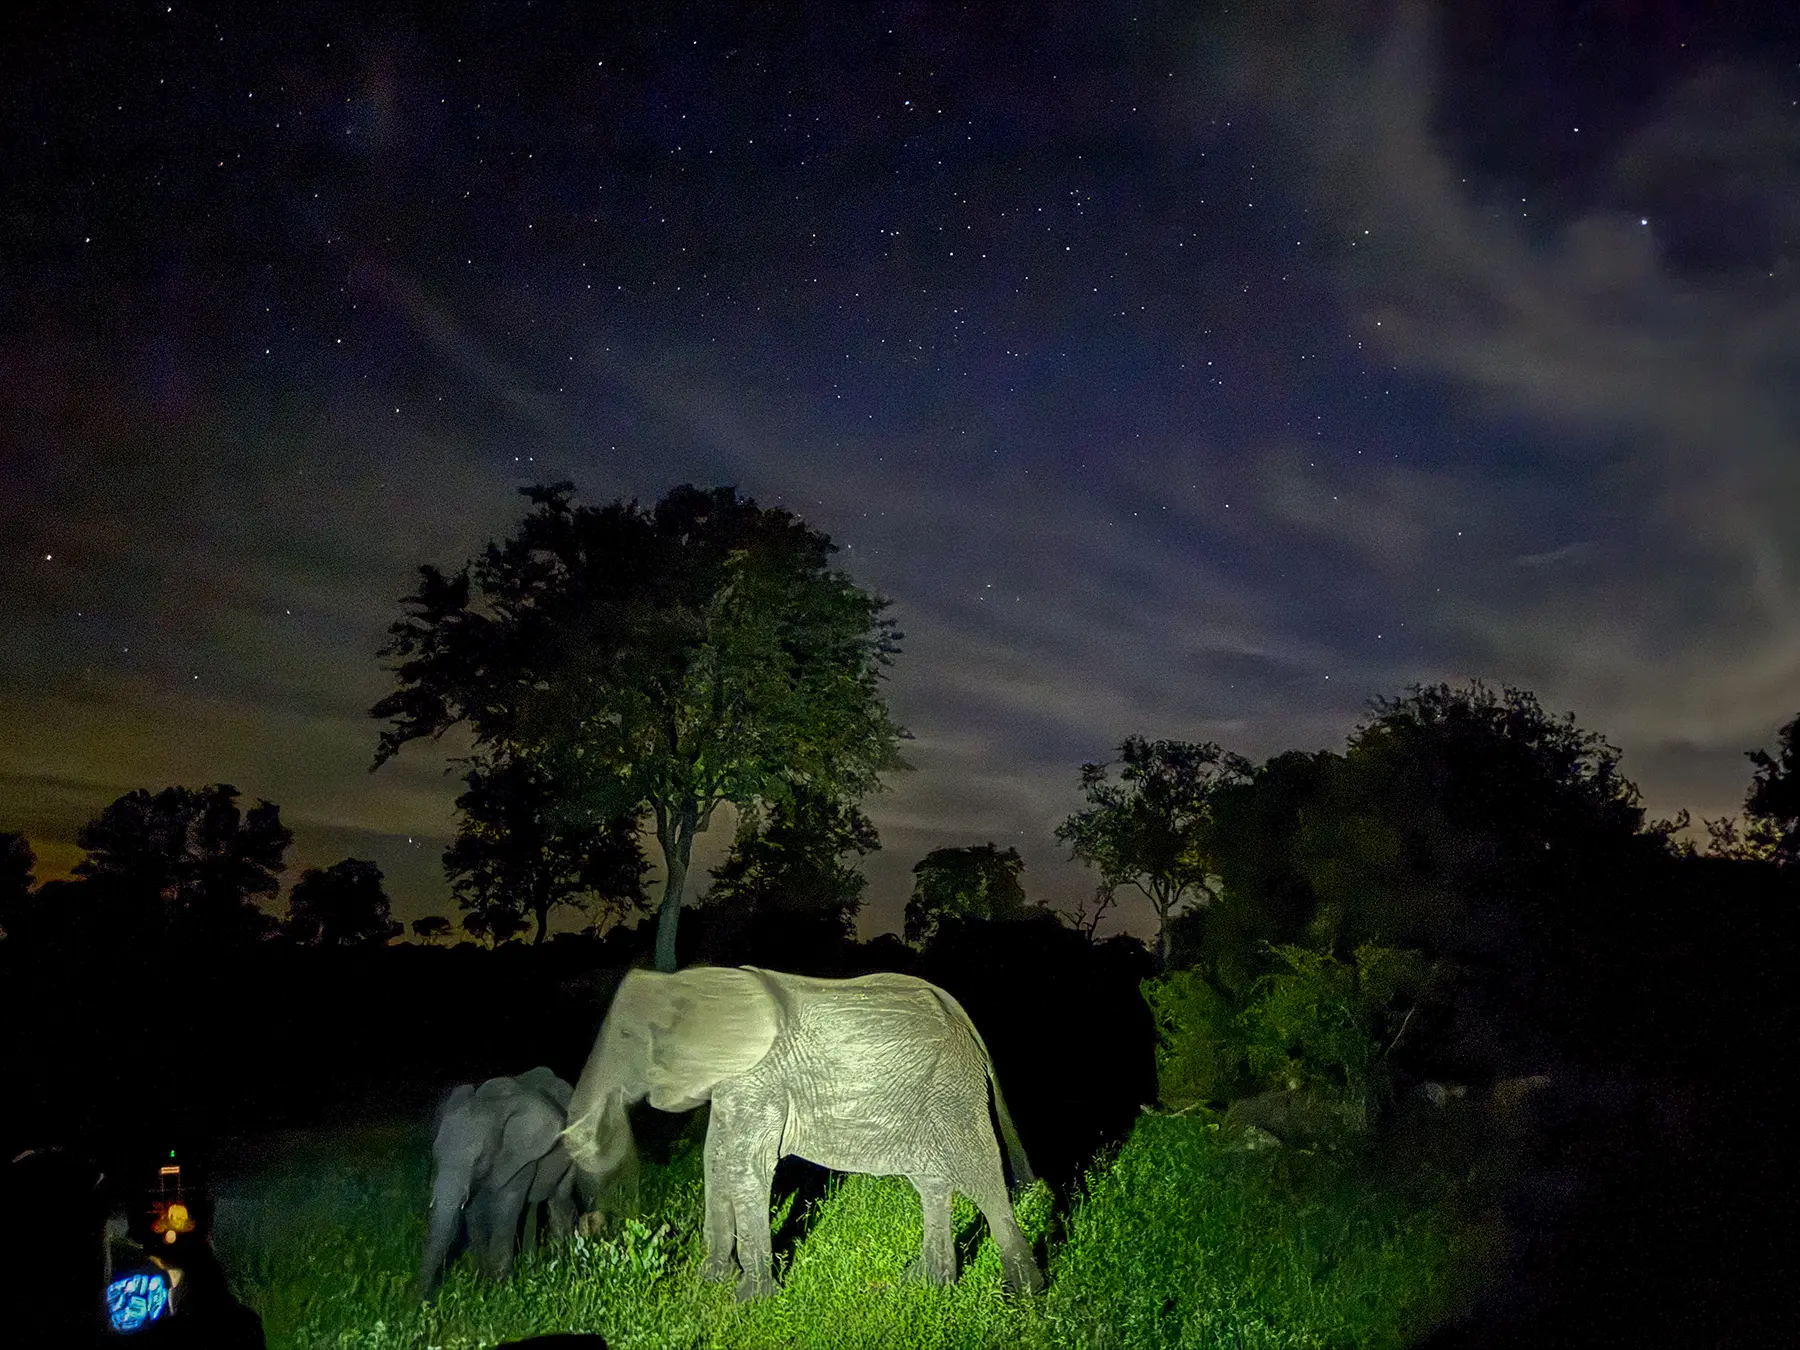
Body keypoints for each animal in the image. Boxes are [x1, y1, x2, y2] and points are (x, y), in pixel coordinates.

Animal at [418, 1066, 579, 1297]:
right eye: (436, 1154)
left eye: (479, 1159)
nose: (417, 1301)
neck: (491, 1104)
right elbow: (475, 1213)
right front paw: (482, 1286)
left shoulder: (520, 1155)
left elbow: (506, 1208)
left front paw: (500, 1291)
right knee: (532, 1206)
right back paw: (532, 1267)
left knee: (559, 1199)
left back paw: (561, 1263)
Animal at [560, 965, 1044, 1300]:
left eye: (625, 1036)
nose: (595, 1223)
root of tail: (962, 1016)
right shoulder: (733, 1084)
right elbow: (716, 1162)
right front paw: (710, 1283)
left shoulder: (758, 1080)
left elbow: (746, 1169)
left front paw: (747, 1302)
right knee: (933, 1182)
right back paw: (926, 1284)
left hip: (952, 1088)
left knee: (979, 1176)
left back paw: (1022, 1297)